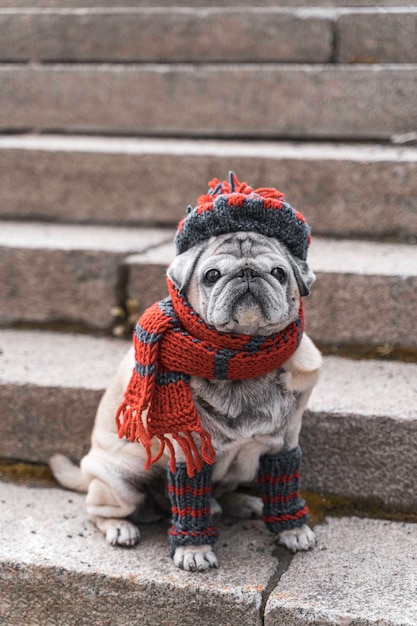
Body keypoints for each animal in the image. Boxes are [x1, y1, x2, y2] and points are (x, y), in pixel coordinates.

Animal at [48, 229, 318, 572]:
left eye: (279, 273)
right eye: (212, 275)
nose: (247, 273)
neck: (243, 367)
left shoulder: (283, 446)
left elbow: (285, 489)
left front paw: (292, 529)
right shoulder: (189, 455)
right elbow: (190, 506)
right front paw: (194, 549)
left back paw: (238, 503)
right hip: (120, 485)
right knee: (98, 511)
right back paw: (121, 528)